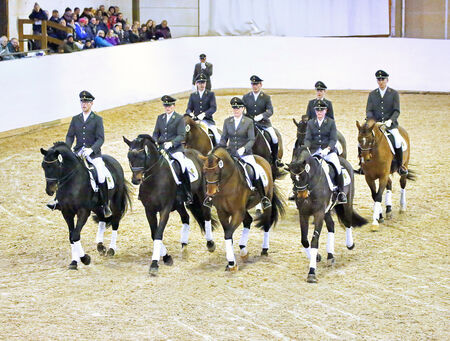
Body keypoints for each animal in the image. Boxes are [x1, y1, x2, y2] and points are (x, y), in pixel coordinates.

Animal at [122, 133, 215, 274]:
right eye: (129, 157)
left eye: (143, 156)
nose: (135, 180)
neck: (155, 179)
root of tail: (197, 153)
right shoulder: (149, 210)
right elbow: (154, 234)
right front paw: (166, 257)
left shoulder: (165, 209)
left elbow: (159, 233)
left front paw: (154, 264)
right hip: (179, 204)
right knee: (186, 218)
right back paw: (184, 247)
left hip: (202, 193)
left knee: (206, 214)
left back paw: (210, 244)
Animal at [286, 145, 368, 282]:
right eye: (292, 178)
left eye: (304, 176)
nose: (302, 196)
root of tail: (343, 160)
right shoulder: (303, 213)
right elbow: (304, 240)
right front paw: (316, 257)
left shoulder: (318, 213)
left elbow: (314, 241)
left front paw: (312, 272)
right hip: (327, 211)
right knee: (331, 225)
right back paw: (330, 256)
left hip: (346, 203)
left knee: (347, 221)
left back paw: (350, 244)